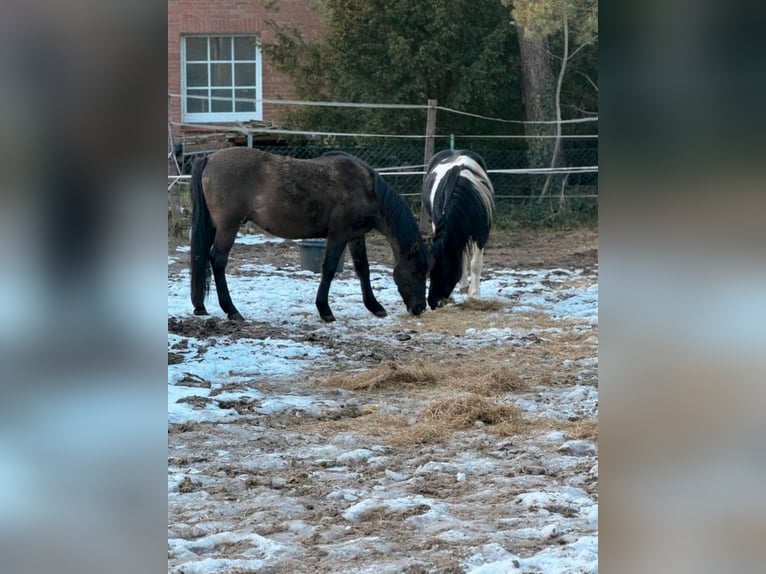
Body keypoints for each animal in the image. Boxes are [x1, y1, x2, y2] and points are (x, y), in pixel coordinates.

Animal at [189, 147, 430, 322]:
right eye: (417, 271)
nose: (419, 307)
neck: (365, 189)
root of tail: (210, 158)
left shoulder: (355, 237)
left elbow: (363, 269)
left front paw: (374, 306)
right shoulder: (338, 236)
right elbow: (329, 269)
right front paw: (325, 310)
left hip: (214, 226)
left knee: (201, 257)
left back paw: (200, 306)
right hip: (228, 226)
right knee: (218, 259)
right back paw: (232, 310)